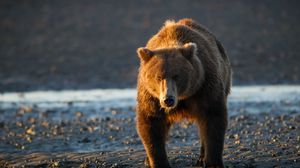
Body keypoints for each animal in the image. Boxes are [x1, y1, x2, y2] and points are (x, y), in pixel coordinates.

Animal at [136, 18, 232, 168]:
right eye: (158, 77)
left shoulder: (205, 85)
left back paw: (201, 158)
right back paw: (147, 159)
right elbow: (151, 123)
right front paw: (158, 162)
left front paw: (213, 162)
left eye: (176, 76)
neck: (183, 97)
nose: (168, 99)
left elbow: (213, 119)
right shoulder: (151, 97)